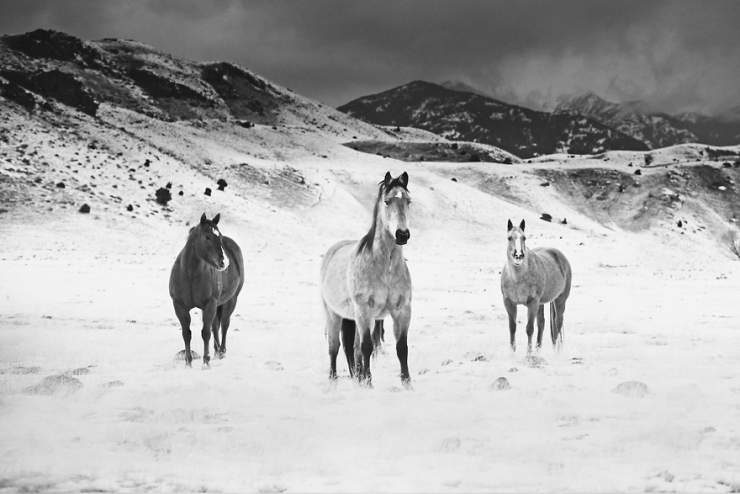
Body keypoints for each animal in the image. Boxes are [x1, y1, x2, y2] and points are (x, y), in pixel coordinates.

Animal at [169, 213, 245, 368]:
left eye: (219, 237)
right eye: (207, 237)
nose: (224, 262)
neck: (190, 274)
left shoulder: (209, 304)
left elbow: (205, 333)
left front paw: (206, 363)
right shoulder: (179, 306)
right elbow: (187, 333)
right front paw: (188, 363)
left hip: (231, 300)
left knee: (224, 324)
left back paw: (222, 352)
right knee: (215, 325)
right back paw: (216, 352)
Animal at [321, 171, 413, 389]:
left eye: (408, 201)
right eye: (387, 201)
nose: (402, 234)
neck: (385, 268)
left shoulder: (403, 311)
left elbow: (401, 348)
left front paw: (408, 385)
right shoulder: (365, 311)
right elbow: (367, 347)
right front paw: (369, 385)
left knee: (352, 348)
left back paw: (357, 378)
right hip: (334, 314)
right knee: (334, 347)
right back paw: (333, 381)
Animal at [500, 219, 572, 354]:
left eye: (524, 238)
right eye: (509, 238)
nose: (519, 256)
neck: (517, 279)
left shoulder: (532, 302)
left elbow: (529, 328)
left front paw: (529, 353)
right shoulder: (509, 303)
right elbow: (512, 327)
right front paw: (512, 353)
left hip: (560, 300)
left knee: (558, 324)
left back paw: (556, 353)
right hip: (541, 303)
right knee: (542, 323)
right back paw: (539, 351)